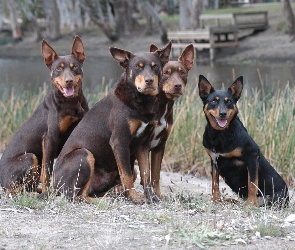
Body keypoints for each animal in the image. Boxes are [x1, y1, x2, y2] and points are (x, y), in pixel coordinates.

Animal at [0, 36, 88, 194]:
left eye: (75, 67)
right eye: (58, 69)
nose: (69, 81)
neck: (71, 103)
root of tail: (1, 182)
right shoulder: (49, 138)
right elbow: (47, 172)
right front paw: (49, 191)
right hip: (30, 158)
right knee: (17, 188)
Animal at [51, 41, 172, 203]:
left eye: (155, 66)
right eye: (137, 67)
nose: (149, 81)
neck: (140, 101)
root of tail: (53, 186)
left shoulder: (143, 144)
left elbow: (146, 174)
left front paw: (151, 197)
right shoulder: (119, 141)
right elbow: (126, 175)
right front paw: (135, 197)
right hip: (84, 154)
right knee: (75, 195)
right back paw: (104, 200)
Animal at [136, 43, 197, 203]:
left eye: (183, 73)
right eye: (165, 73)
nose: (177, 86)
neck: (162, 105)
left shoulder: (160, 145)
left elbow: (156, 175)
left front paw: (158, 195)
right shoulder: (143, 145)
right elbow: (147, 174)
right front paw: (150, 196)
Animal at [199, 74, 290, 207]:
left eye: (229, 101)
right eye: (214, 101)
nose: (223, 113)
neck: (220, 134)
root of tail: (288, 196)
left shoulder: (252, 156)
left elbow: (252, 183)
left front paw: (250, 204)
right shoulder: (214, 160)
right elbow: (214, 184)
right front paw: (215, 200)